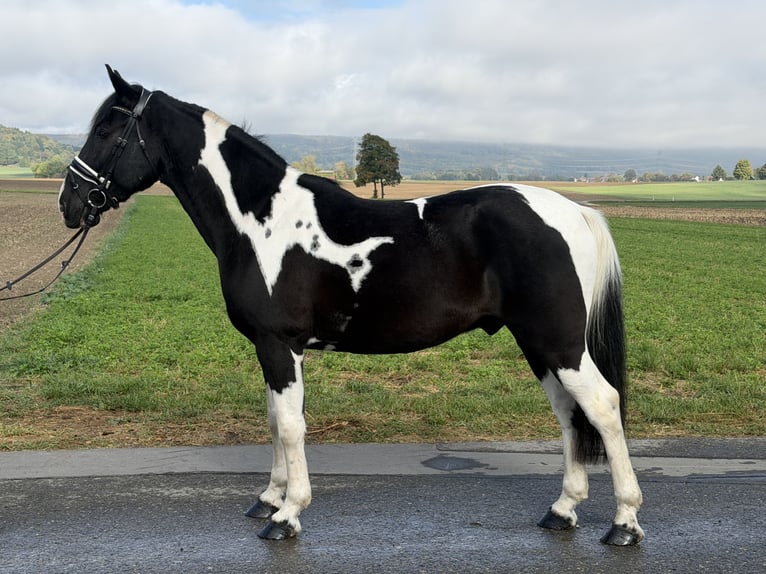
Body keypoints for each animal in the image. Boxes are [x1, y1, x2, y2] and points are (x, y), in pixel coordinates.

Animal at [58, 66, 643, 546]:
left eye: (107, 130)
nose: (69, 203)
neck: (261, 221)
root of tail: (574, 209)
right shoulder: (269, 349)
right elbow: (274, 419)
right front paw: (268, 498)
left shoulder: (281, 345)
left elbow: (290, 425)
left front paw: (287, 515)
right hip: (539, 344)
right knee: (569, 413)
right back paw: (562, 510)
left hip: (559, 342)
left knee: (603, 406)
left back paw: (624, 523)